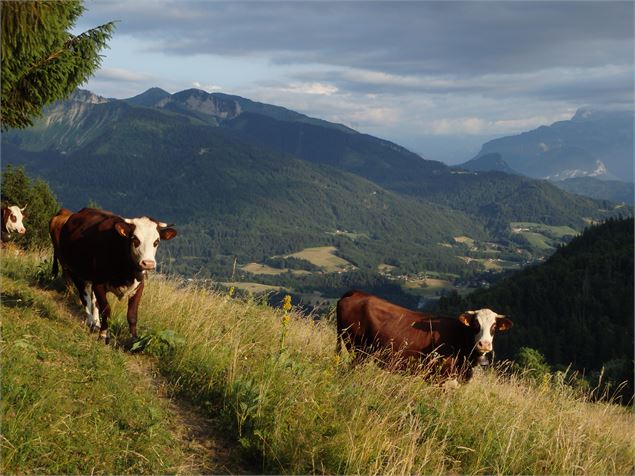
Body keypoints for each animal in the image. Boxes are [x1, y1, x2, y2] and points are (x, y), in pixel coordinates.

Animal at [57, 207, 176, 342]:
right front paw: (104, 335)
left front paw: (133, 339)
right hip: (74, 271)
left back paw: (96, 323)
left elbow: (132, 315)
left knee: (94, 300)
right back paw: (91, 322)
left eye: (156, 241)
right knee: (85, 297)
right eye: (135, 239)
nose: (148, 263)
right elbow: (106, 310)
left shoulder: (139, 286)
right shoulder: (99, 284)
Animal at [338, 288, 512, 382]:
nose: (485, 344)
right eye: (476, 324)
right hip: (357, 349)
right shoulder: (440, 377)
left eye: (494, 327)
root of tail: (358, 293)